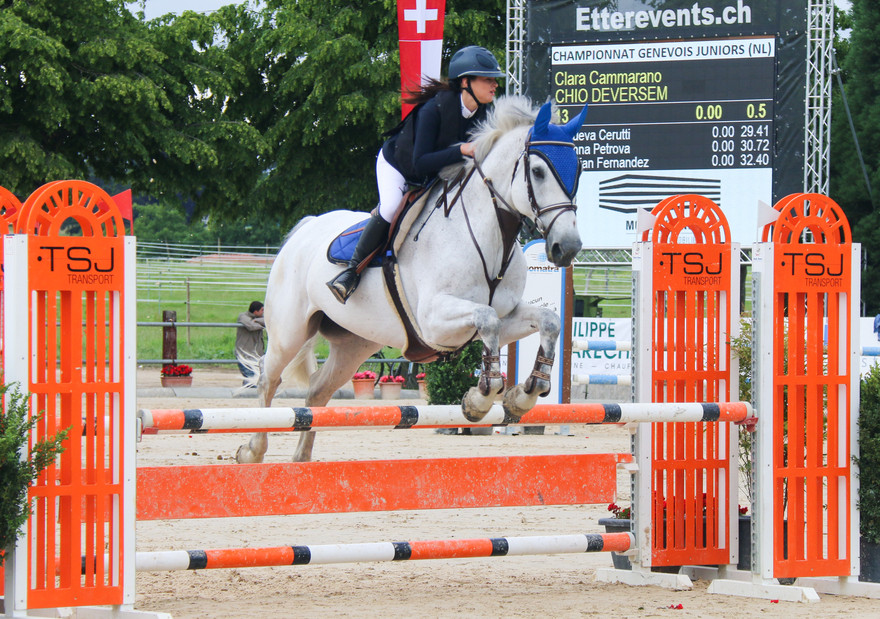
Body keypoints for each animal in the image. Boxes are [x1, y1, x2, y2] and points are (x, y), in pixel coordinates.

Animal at [236, 95, 586, 463]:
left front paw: (524, 394)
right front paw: (478, 401)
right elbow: (486, 318)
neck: (488, 235)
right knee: (268, 379)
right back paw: (252, 451)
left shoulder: (503, 317)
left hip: (356, 342)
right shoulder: (434, 323)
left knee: (317, 391)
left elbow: (548, 321)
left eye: (578, 170)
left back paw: (301, 459)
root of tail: (306, 228)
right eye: (538, 171)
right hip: (289, 331)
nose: (568, 247)